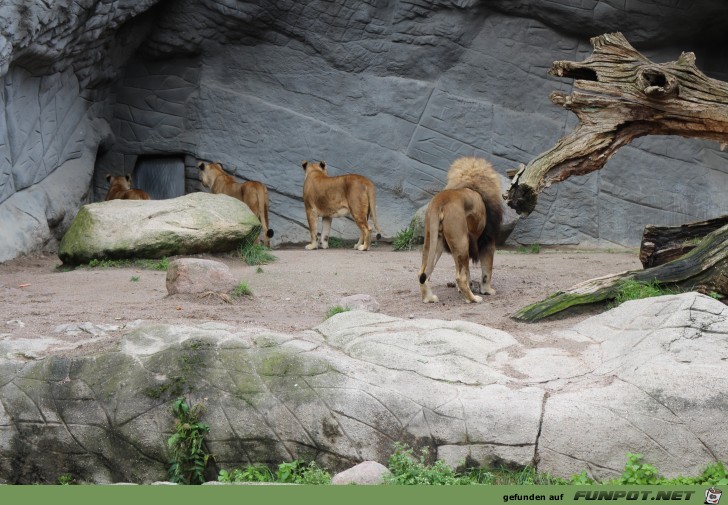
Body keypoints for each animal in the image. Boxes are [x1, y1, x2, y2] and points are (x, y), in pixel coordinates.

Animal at [418, 156, 504, 302]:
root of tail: (440, 200)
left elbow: (468, 271)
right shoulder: (488, 240)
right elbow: (487, 270)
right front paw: (487, 290)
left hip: (434, 240)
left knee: (423, 273)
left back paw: (429, 298)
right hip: (461, 240)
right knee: (460, 277)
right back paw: (473, 299)